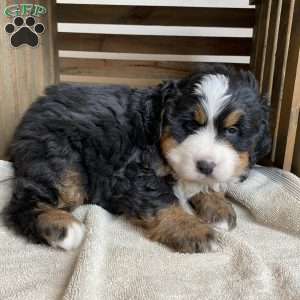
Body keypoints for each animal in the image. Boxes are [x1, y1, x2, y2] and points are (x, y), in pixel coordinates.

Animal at [4, 63, 272, 253]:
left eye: (232, 130)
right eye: (189, 125)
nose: (205, 165)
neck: (154, 127)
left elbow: (201, 185)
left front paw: (218, 206)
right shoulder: (132, 173)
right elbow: (163, 201)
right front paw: (194, 230)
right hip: (62, 163)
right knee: (23, 203)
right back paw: (62, 227)